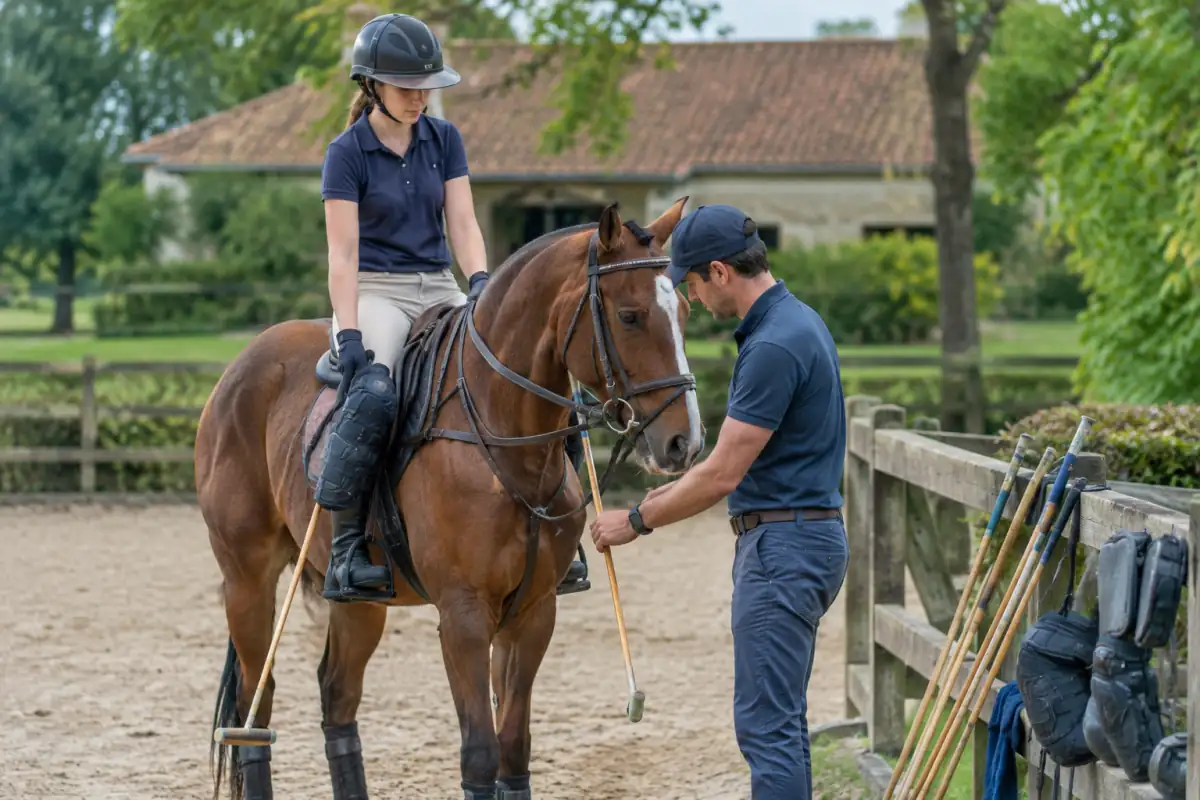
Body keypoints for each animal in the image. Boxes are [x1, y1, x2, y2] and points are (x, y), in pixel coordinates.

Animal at [195, 196, 705, 800]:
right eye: (629, 316)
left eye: (686, 313)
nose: (684, 443)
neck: (505, 443)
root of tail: (239, 365)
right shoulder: (463, 616)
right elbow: (480, 754)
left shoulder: (533, 611)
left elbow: (514, 749)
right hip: (247, 580)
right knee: (255, 710)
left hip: (361, 603)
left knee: (337, 698)